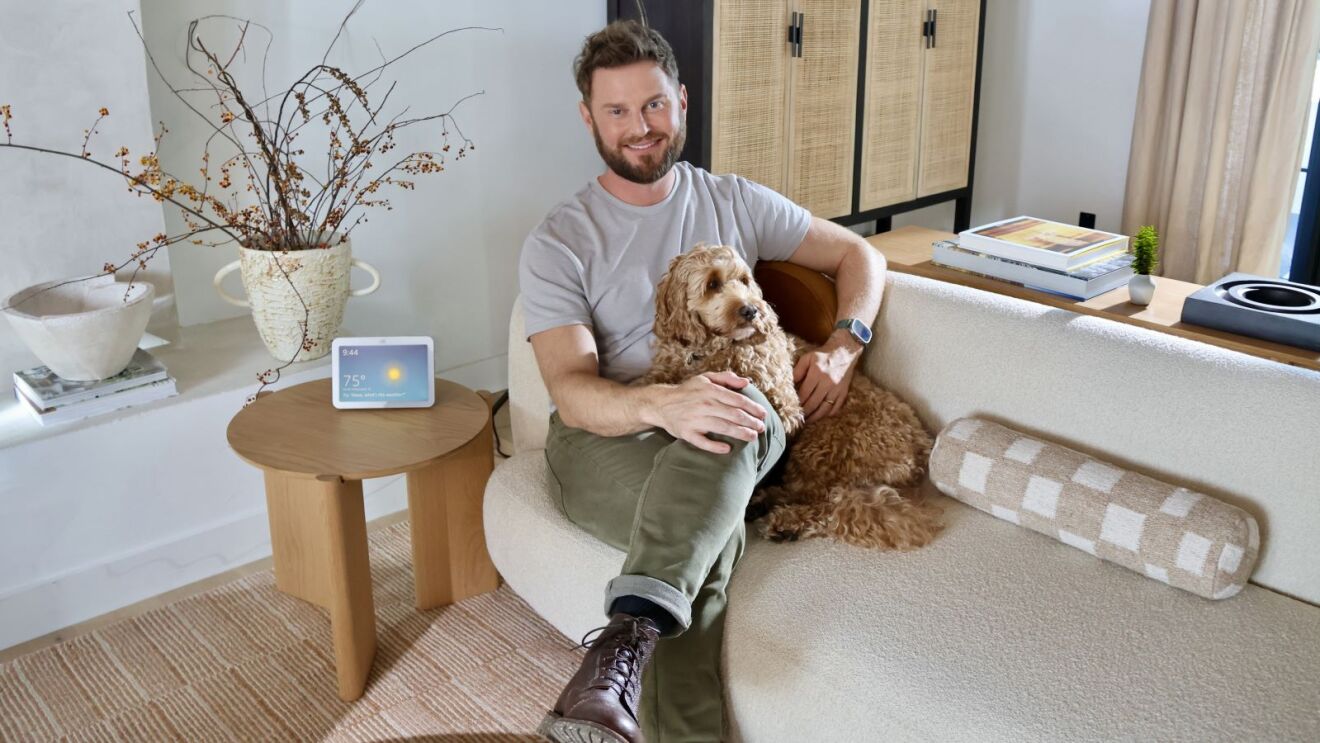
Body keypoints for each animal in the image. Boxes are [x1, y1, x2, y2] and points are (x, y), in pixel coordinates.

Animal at [641, 245, 945, 551]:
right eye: (712, 284)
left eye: (744, 281)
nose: (751, 310)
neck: (709, 350)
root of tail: (921, 450)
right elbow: (655, 382)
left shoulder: (783, 404)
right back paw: (764, 502)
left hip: (821, 444)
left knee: (830, 501)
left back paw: (786, 522)